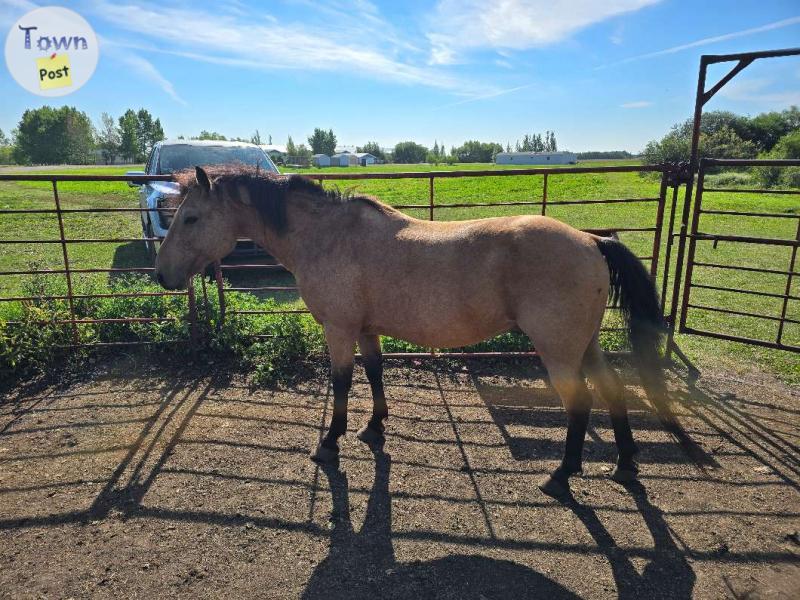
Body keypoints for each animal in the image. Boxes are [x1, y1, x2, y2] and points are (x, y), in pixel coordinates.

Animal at [156, 165, 668, 496]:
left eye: (191, 217)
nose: (162, 276)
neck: (326, 236)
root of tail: (592, 241)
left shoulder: (339, 329)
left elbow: (341, 382)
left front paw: (330, 443)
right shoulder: (366, 329)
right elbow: (375, 372)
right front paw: (374, 426)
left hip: (558, 350)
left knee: (580, 401)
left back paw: (562, 475)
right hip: (585, 344)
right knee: (613, 389)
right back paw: (625, 464)